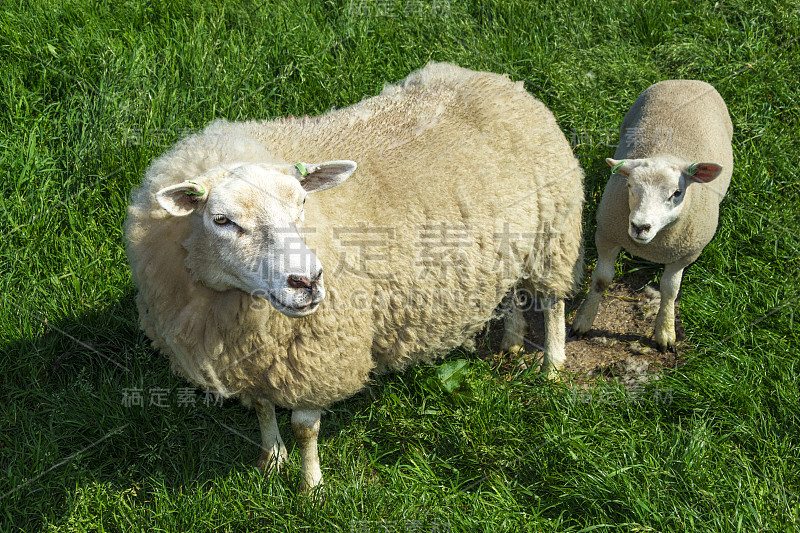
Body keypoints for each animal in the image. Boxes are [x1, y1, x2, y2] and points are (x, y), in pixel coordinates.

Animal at [126, 60, 588, 488]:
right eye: (221, 220)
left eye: (302, 203)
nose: (308, 281)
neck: (231, 302)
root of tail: (500, 80)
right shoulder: (254, 359)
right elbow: (261, 406)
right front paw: (271, 460)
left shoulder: (316, 355)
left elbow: (304, 428)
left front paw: (311, 488)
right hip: (509, 248)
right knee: (512, 292)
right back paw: (511, 341)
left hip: (553, 235)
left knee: (552, 302)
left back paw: (551, 366)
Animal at [568, 79, 732, 352]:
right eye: (630, 186)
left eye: (677, 192)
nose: (639, 226)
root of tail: (687, 81)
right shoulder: (606, 235)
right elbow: (601, 280)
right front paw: (583, 320)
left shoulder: (686, 254)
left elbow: (670, 290)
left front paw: (665, 332)